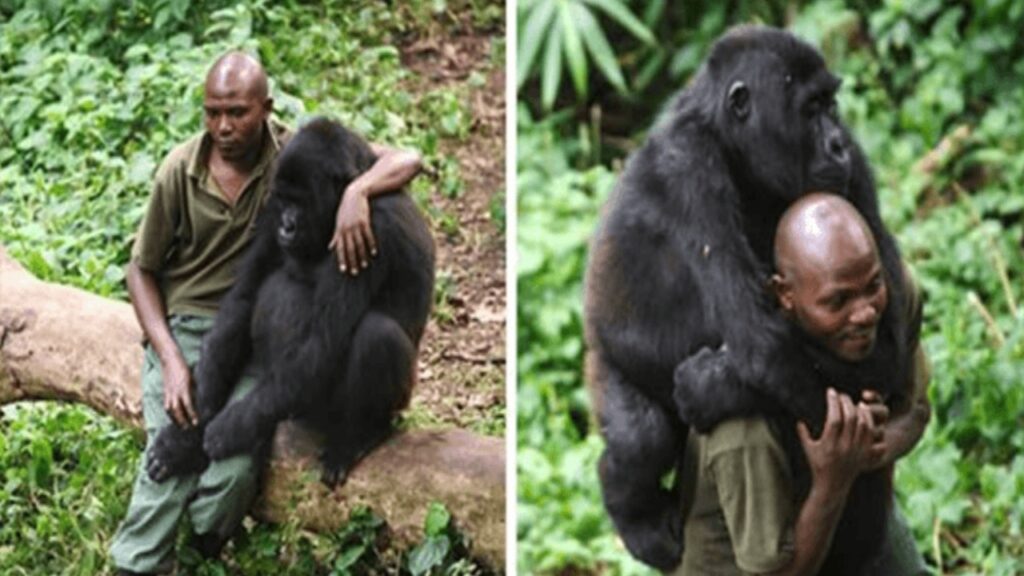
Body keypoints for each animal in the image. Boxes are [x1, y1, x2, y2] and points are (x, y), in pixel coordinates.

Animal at [146, 116, 434, 483]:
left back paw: (360, 435)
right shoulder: (270, 208)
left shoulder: (371, 225)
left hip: (392, 403)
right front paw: (186, 437)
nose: (287, 227)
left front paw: (230, 428)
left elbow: (323, 342)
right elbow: (243, 299)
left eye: (301, 201)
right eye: (284, 200)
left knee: (377, 334)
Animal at [585, 25, 913, 569]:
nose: (838, 143)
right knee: (640, 436)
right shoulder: (689, 168)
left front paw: (712, 386)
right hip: (605, 357)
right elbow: (764, 344)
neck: (727, 138)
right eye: (810, 108)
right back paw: (631, 508)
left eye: (831, 105)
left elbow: (888, 340)